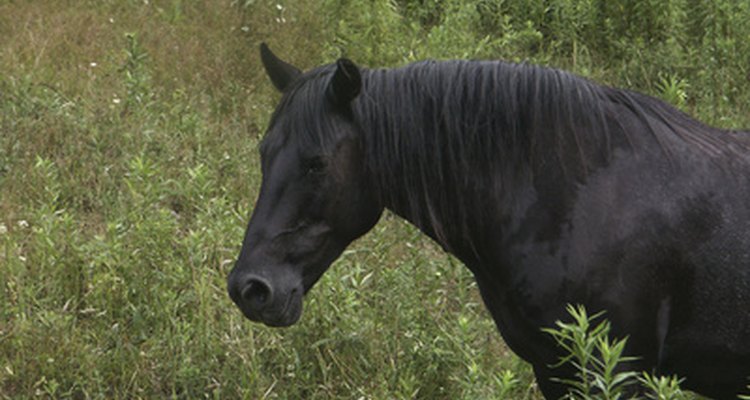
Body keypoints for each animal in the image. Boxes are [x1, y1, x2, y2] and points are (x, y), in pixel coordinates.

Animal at [228, 43, 750, 396]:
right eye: (263, 152)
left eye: (316, 163)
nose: (250, 289)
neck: (580, 201)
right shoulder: (552, 369)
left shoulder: (621, 371)